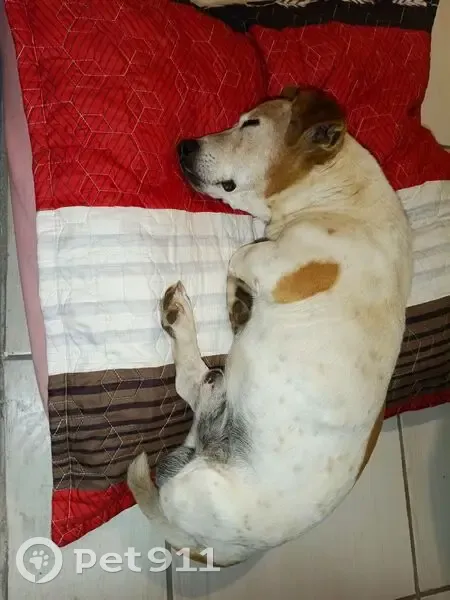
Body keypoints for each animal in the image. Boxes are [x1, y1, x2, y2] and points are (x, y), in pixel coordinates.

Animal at [128, 87, 412, 567]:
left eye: (251, 124)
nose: (184, 146)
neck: (340, 195)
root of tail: (212, 551)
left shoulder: (275, 263)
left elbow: (238, 256)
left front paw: (237, 297)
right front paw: (239, 304)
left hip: (194, 487)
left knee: (193, 384)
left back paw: (187, 331)